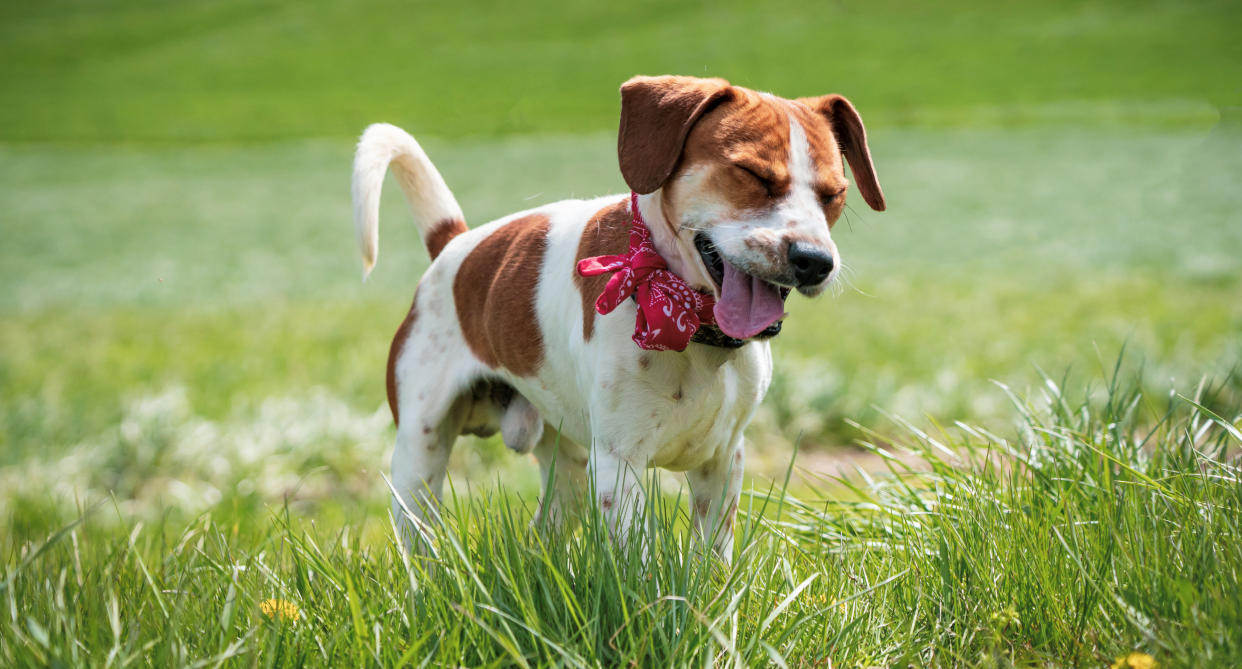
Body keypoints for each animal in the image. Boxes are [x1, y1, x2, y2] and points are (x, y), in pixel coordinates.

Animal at [355, 74, 889, 561]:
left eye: (833, 193)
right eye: (753, 174)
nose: (815, 261)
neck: (690, 322)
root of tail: (455, 244)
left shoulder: (724, 460)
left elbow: (712, 561)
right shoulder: (619, 463)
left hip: (567, 472)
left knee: (542, 533)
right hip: (419, 455)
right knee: (419, 539)